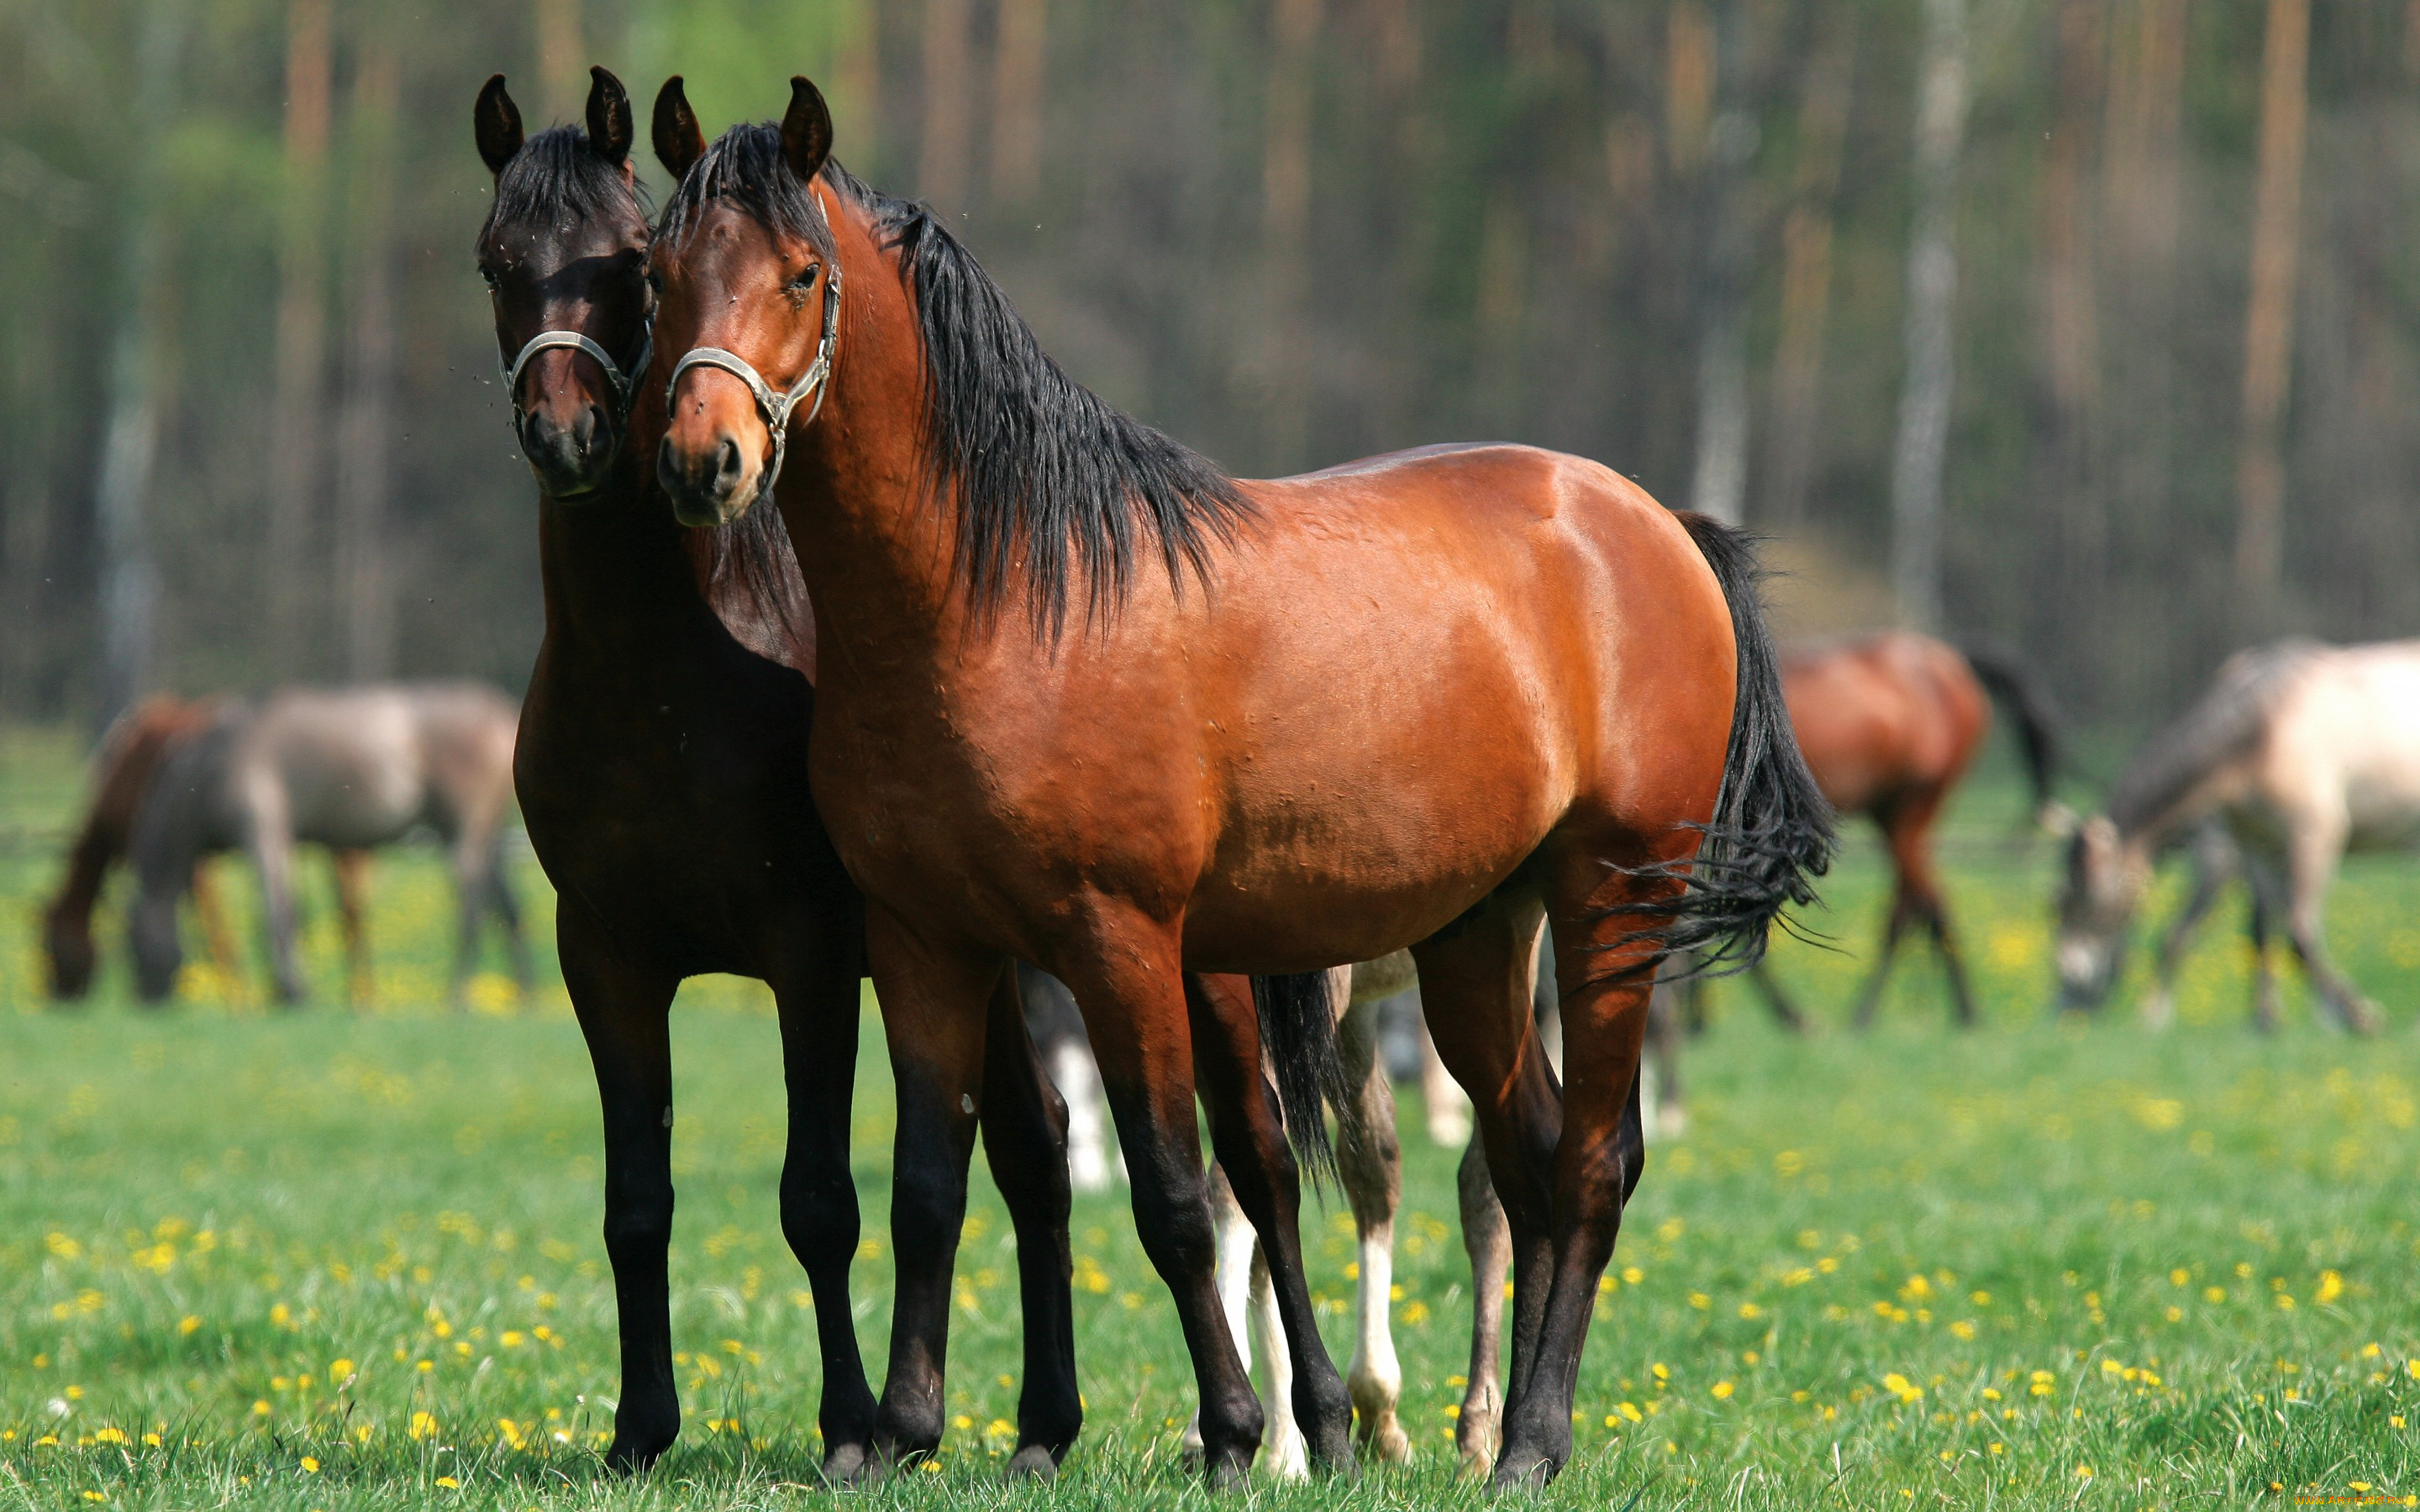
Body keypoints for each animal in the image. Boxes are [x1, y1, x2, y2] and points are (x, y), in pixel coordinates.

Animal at [127, 682, 524, 1001]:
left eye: (133, 945)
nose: (147, 1000)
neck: (210, 764)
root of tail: (501, 715)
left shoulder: (263, 837)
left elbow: (277, 914)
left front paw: (293, 991)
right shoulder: (289, 843)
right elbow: (293, 914)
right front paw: (283, 990)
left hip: (464, 835)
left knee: (470, 909)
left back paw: (457, 996)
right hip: (484, 839)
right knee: (507, 908)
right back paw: (525, 994)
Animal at [474, 67, 1098, 1471]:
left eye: (622, 269)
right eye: (495, 262)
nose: (567, 434)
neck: (660, 674)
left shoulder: (809, 949)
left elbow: (819, 1200)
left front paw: (853, 1428)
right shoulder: (605, 955)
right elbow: (636, 1202)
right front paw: (640, 1431)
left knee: (1034, 1152)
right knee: (1030, 1149)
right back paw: (1041, 1423)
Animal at [653, 80, 1819, 1490]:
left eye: (803, 273)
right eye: (659, 273)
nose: (702, 459)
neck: (1006, 601)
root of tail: (1653, 526)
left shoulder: (1123, 944)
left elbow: (1176, 1198)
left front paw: (1234, 1436)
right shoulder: (927, 942)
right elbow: (930, 1185)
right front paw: (899, 1435)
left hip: (1611, 906)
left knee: (1594, 1164)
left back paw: (1533, 1445)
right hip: (1478, 938)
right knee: (1526, 1161)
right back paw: (1494, 1440)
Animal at [2042, 638, 2420, 1035]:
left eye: (2076, 900)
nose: (2064, 1000)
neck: (2259, 730)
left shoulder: (2299, 837)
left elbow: (2295, 932)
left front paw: (2355, 1015)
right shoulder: (2256, 846)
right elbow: (2261, 931)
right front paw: (2267, 1020)